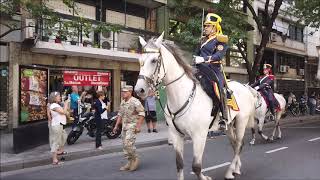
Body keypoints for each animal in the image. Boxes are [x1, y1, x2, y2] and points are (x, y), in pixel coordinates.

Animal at [134, 33, 256, 180]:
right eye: (140, 60)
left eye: (153, 60)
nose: (139, 90)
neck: (182, 95)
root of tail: (245, 87)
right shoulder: (176, 135)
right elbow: (179, 164)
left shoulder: (199, 135)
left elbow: (196, 167)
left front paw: (205, 177)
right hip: (229, 124)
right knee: (236, 145)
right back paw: (236, 169)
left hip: (241, 121)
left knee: (238, 145)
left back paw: (229, 171)